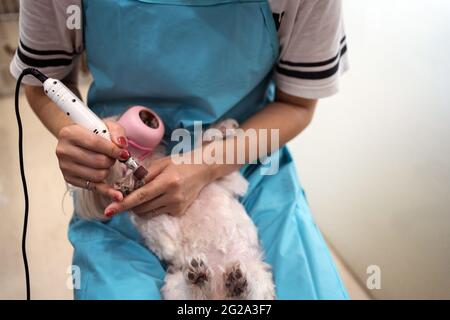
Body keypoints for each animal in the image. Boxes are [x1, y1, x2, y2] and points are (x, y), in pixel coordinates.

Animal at [74, 117, 274, 300]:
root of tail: (218, 293)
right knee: (197, 294)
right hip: (175, 283)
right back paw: (201, 278)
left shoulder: (232, 183)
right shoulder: (164, 239)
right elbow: (149, 221)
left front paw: (219, 130)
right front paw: (129, 185)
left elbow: (206, 150)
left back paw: (235, 284)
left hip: (257, 274)